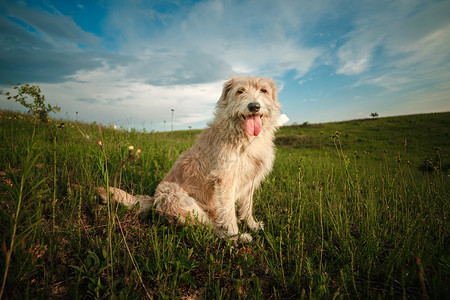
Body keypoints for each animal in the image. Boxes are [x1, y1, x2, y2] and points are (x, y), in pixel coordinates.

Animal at [100, 76, 282, 243]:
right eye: (240, 91)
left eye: (263, 90)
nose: (254, 106)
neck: (245, 138)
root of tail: (153, 200)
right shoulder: (225, 180)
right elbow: (228, 212)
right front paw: (234, 233)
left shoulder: (251, 179)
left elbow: (247, 206)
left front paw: (252, 224)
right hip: (180, 199)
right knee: (210, 227)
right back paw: (234, 238)